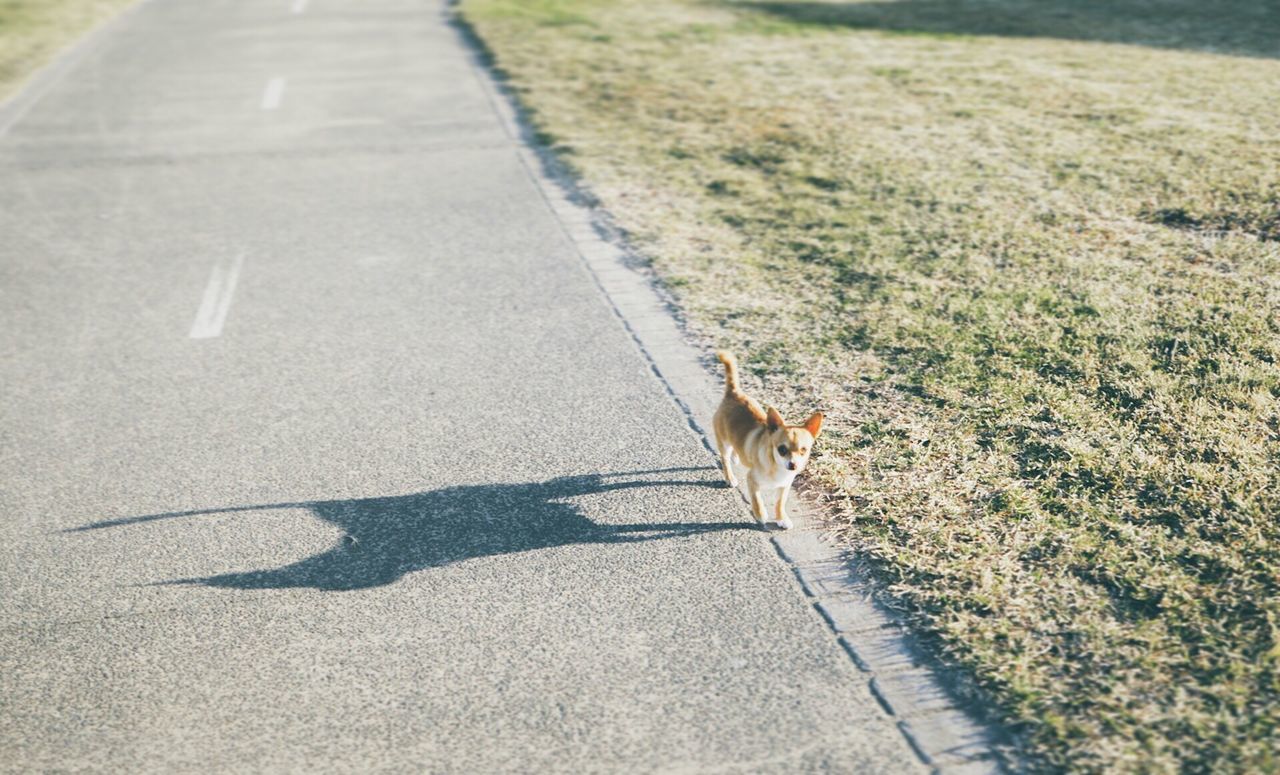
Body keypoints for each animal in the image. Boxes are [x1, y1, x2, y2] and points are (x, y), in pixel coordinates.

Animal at [716, 350, 824, 527]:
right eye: (782, 449)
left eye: (804, 450)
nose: (793, 465)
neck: (777, 467)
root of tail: (734, 392)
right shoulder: (752, 480)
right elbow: (757, 499)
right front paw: (760, 514)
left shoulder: (784, 487)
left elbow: (780, 503)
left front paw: (781, 518)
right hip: (723, 442)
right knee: (724, 459)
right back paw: (730, 477)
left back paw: (736, 457)